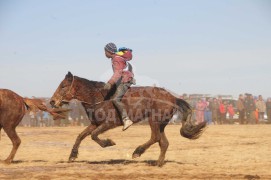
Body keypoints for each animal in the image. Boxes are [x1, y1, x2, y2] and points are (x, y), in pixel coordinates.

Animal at [50, 71, 206, 166]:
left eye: (63, 86)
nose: (52, 101)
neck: (98, 97)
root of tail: (173, 98)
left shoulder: (109, 123)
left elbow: (93, 135)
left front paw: (109, 142)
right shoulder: (95, 123)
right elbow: (81, 135)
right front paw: (72, 155)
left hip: (154, 120)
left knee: (155, 138)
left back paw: (137, 152)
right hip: (161, 124)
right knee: (164, 142)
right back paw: (158, 163)